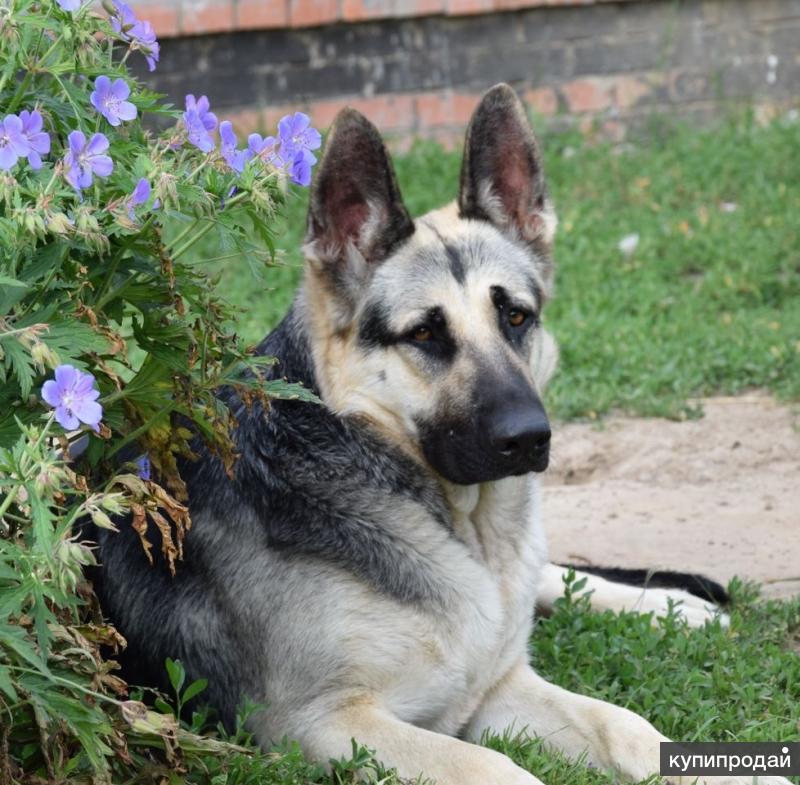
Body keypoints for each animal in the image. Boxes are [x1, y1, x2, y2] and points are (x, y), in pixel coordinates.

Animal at [89, 84, 780, 784]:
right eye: (423, 333)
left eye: (515, 317)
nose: (530, 439)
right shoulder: (323, 723)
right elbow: (502, 768)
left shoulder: (498, 686)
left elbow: (630, 728)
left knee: (547, 575)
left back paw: (672, 605)